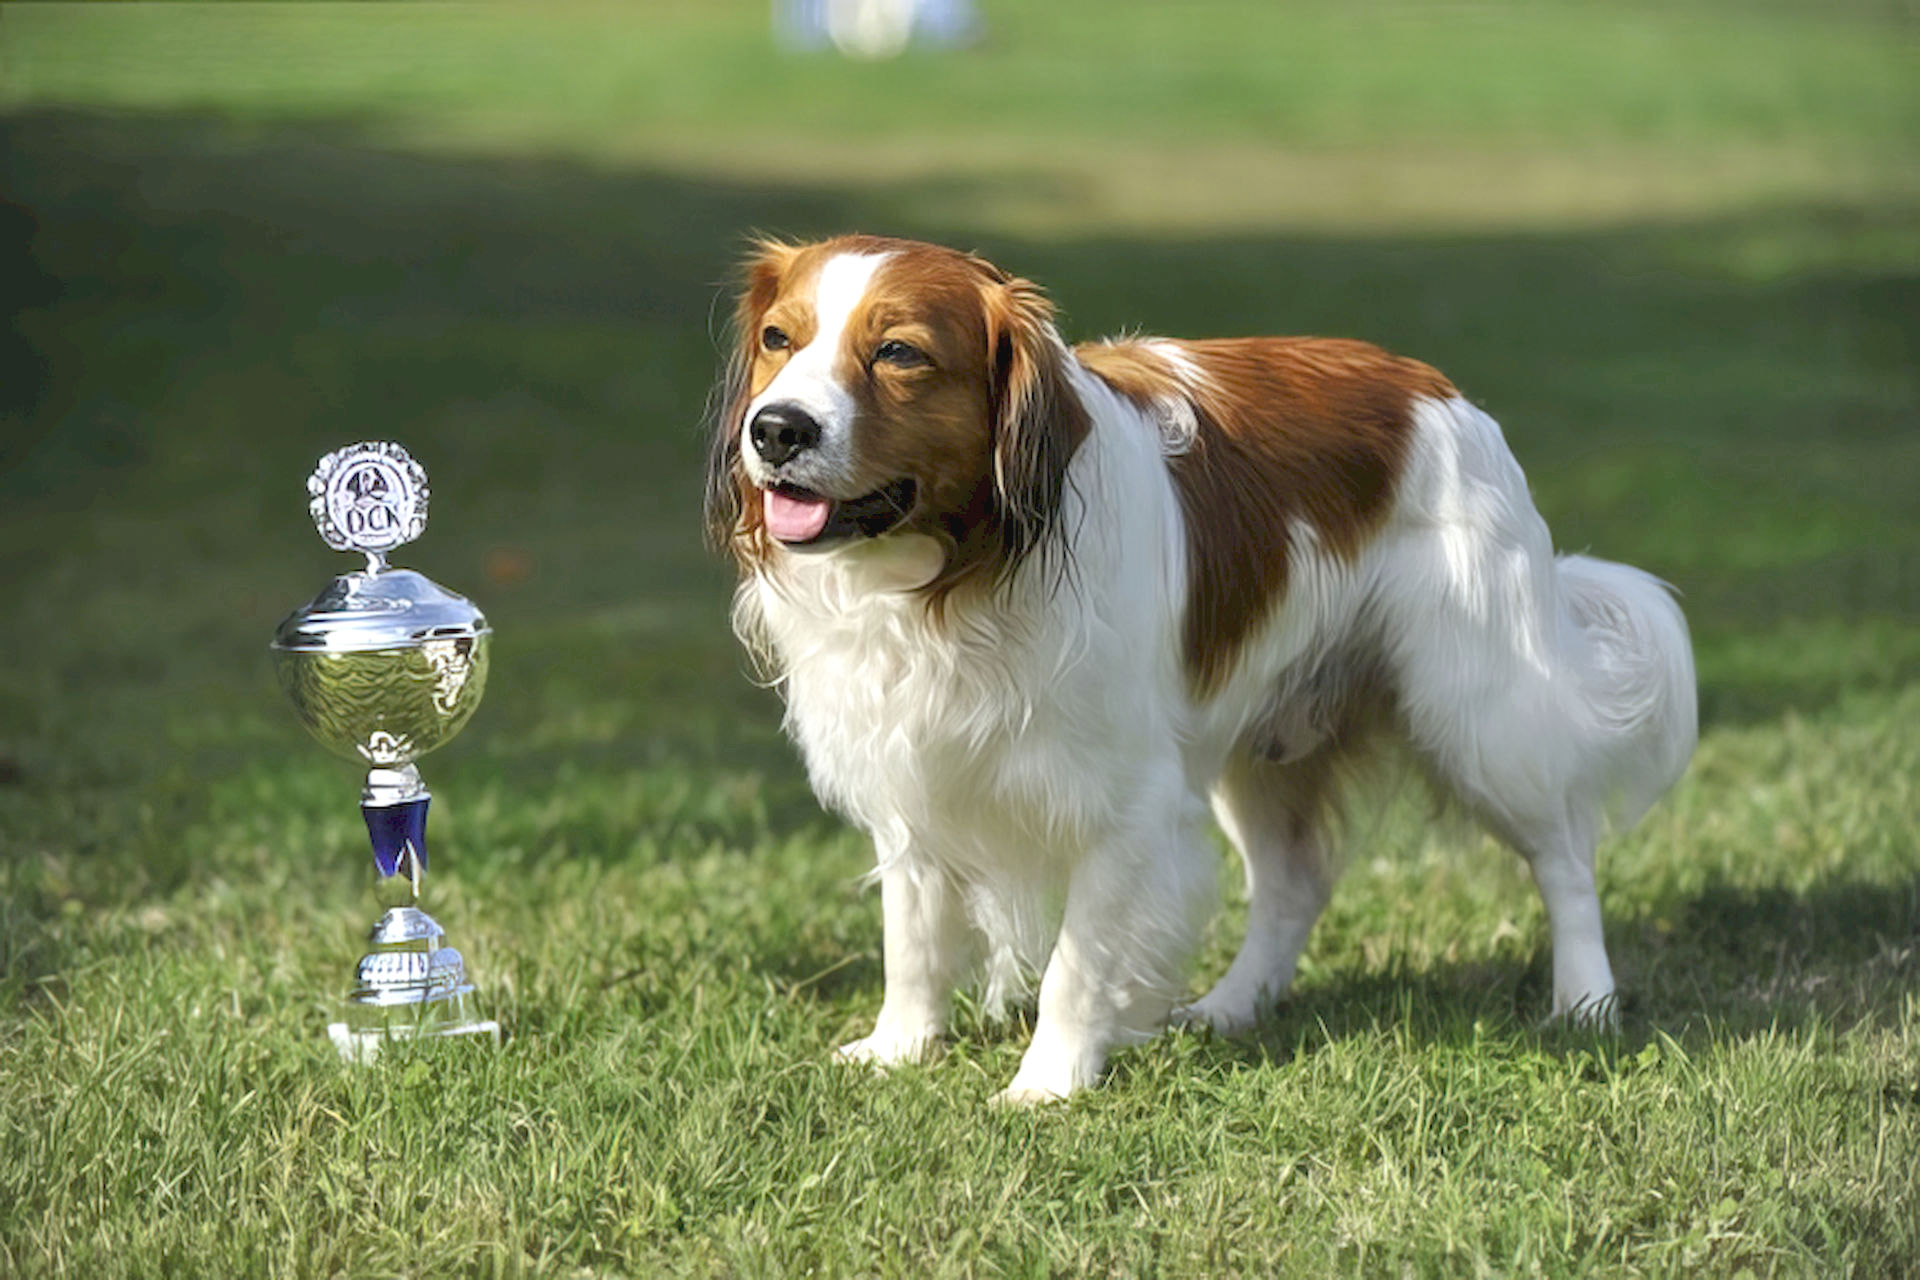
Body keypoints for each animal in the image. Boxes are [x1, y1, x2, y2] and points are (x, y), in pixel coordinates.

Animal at [706, 233, 1697, 1105]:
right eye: (778, 340)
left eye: (898, 353)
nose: (777, 430)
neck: (950, 579)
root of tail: (1433, 386)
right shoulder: (912, 775)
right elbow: (912, 934)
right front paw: (900, 1049)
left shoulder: (1127, 802)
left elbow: (1076, 961)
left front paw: (1047, 1082)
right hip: (1270, 744)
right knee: (1295, 885)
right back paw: (1233, 1007)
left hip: (1474, 712)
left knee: (1565, 854)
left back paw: (1586, 1001)